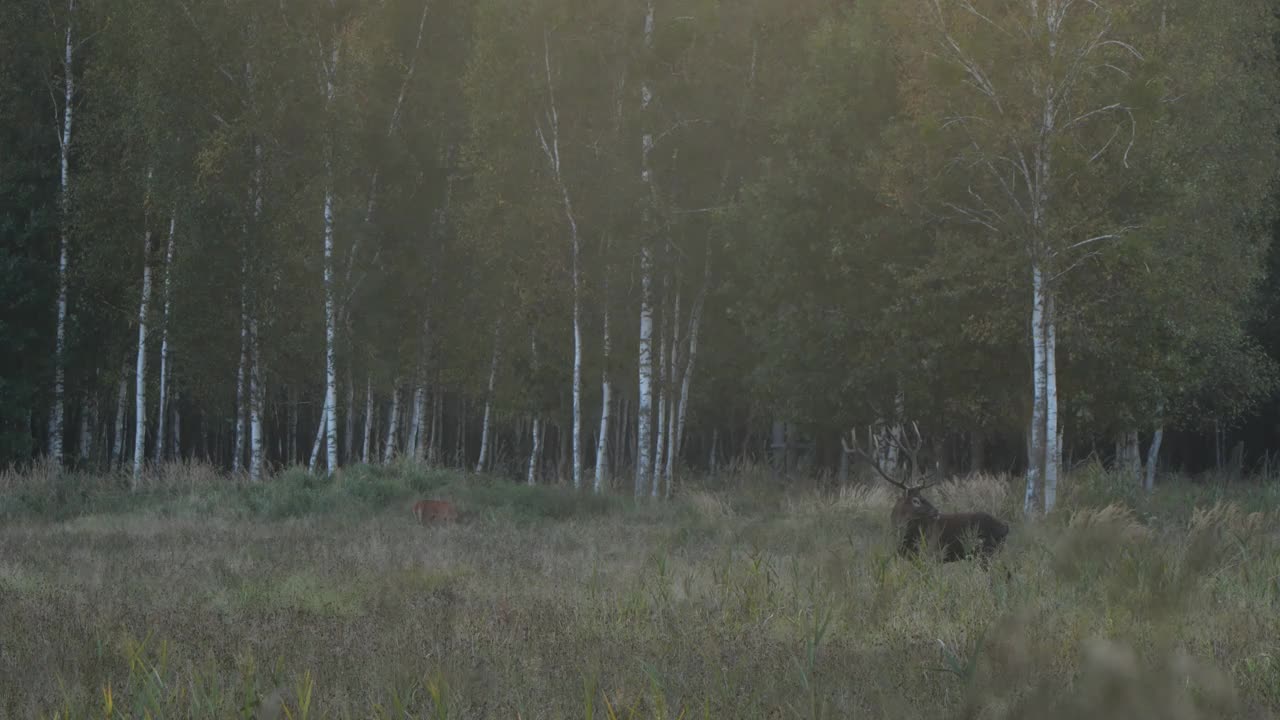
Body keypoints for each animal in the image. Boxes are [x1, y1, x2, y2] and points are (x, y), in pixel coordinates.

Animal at [839, 417, 1008, 563]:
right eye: (916, 500)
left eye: (922, 496)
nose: (937, 512)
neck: (903, 538)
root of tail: (1006, 529)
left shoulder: (931, 554)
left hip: (986, 552)